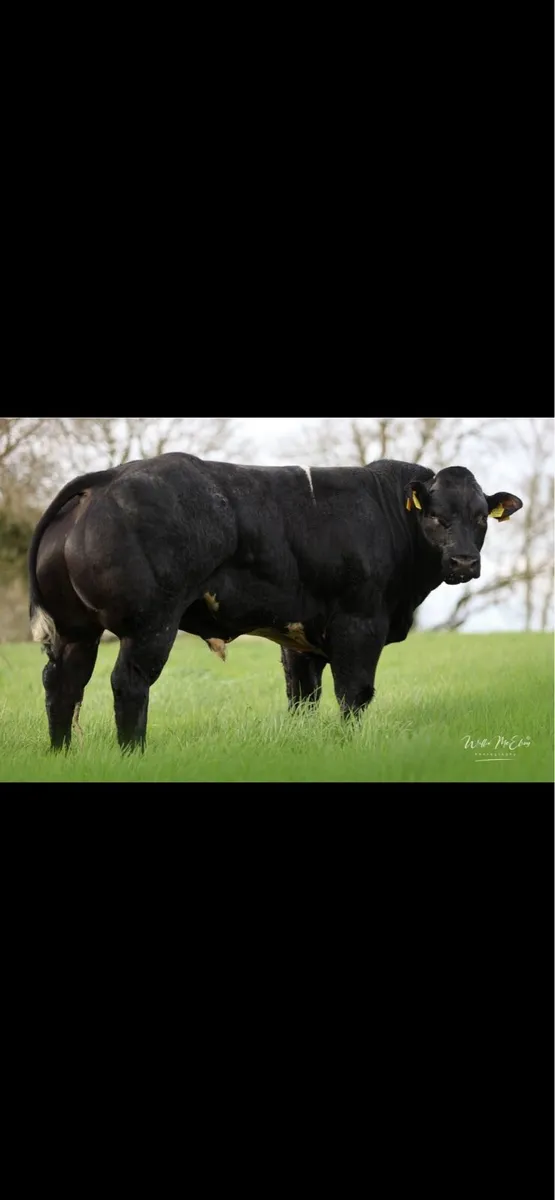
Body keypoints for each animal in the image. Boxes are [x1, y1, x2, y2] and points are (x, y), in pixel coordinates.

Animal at [28, 453, 523, 752]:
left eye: (481, 517)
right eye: (436, 517)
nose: (464, 561)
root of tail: (111, 476)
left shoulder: (300, 637)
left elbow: (303, 698)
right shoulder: (360, 623)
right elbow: (355, 694)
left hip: (75, 629)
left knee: (62, 683)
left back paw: (61, 754)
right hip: (150, 623)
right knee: (127, 683)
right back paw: (134, 754)